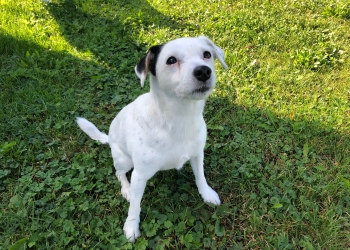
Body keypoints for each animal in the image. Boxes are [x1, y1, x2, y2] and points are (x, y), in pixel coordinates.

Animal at [77, 35, 227, 242]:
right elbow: (135, 205)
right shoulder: (139, 175)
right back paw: (126, 189)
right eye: (171, 60)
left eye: (207, 54)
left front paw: (207, 193)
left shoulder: (197, 155)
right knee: (119, 173)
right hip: (123, 160)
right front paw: (131, 225)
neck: (179, 117)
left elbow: (200, 177)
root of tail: (109, 137)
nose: (204, 71)